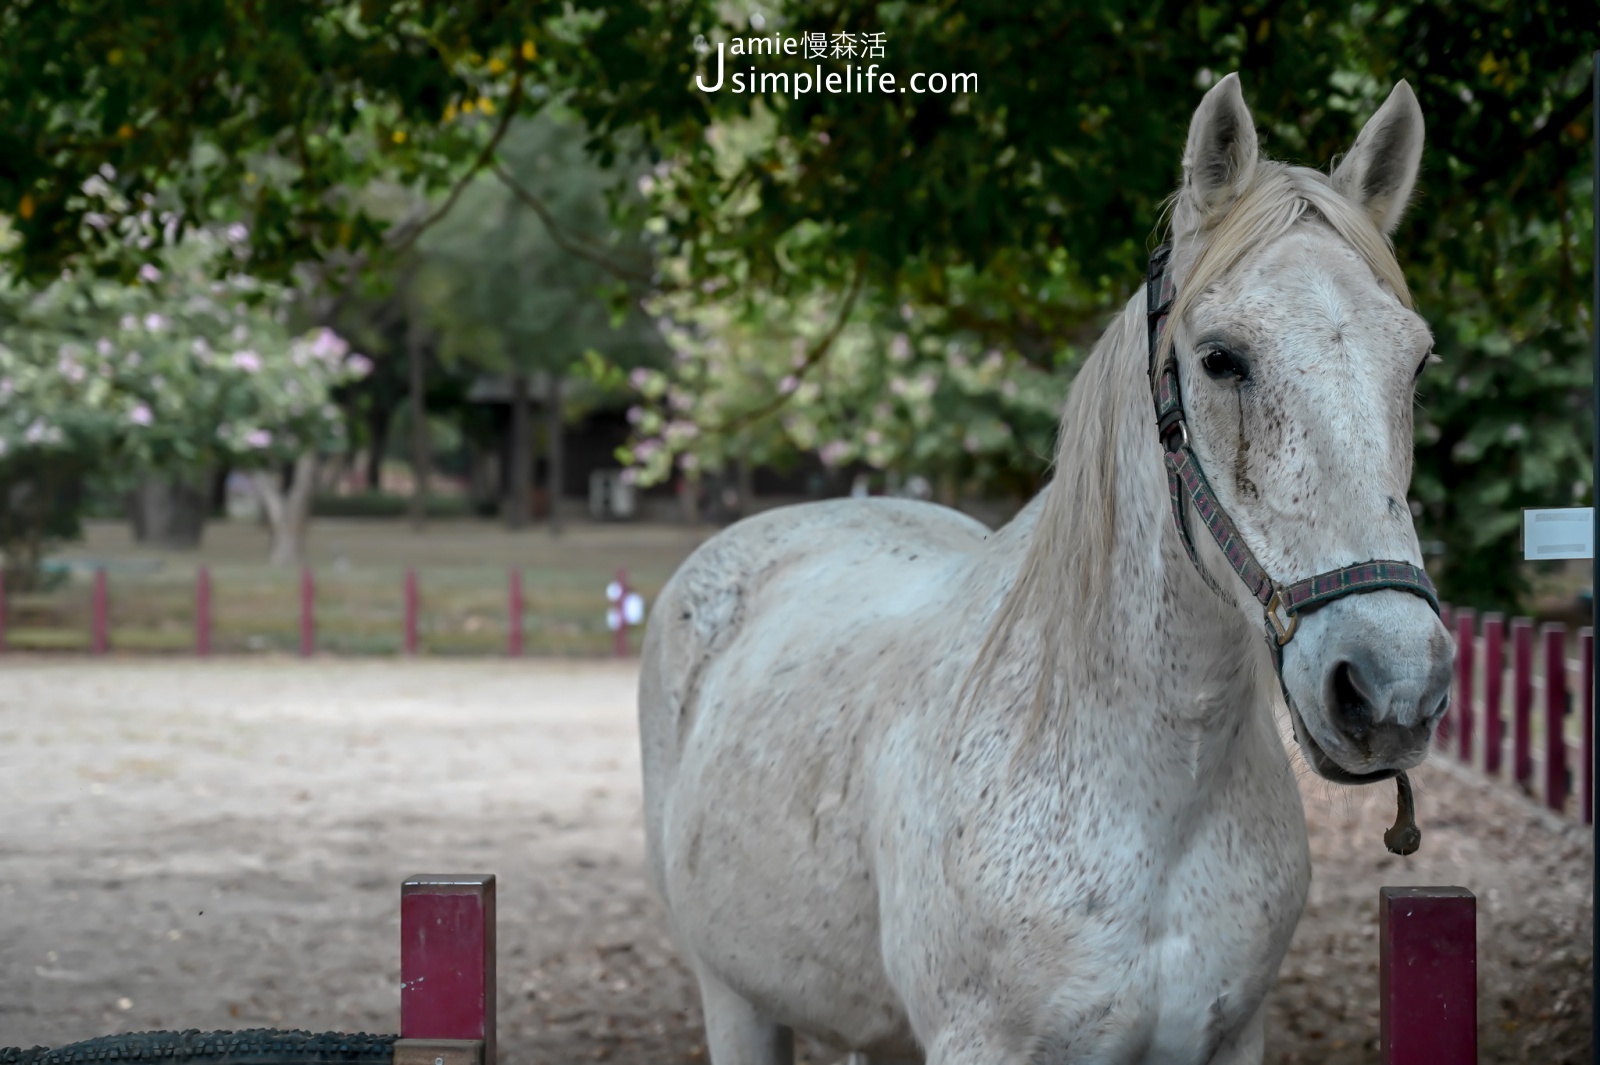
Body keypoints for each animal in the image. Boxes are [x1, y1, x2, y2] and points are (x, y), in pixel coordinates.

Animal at [633, 70, 1452, 1055]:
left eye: (1417, 363)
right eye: (1221, 359)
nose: (1392, 684)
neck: (1157, 794)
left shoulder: (1233, 1037)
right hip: (735, 999)